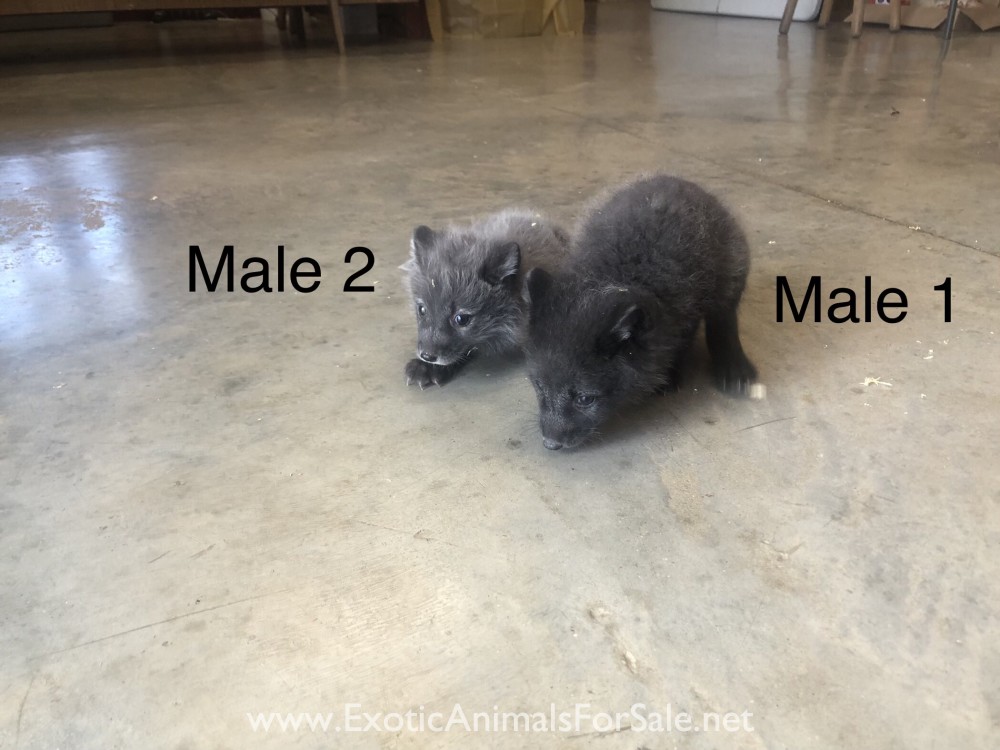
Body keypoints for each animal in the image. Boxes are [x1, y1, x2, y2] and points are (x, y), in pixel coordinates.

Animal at [524, 174, 758, 450]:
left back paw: (734, 366)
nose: (550, 444)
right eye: (539, 387)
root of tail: (677, 179)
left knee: (723, 317)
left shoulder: (684, 307)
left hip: (731, 265)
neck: (616, 275)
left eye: (584, 399)